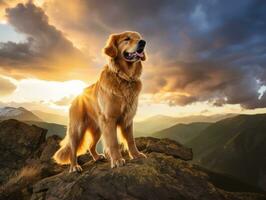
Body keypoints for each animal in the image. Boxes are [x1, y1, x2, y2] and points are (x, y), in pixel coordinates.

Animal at [53, 31, 147, 172]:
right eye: (127, 39)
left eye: (139, 37)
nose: (143, 42)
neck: (125, 78)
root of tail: (77, 97)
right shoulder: (109, 119)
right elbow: (113, 142)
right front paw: (117, 160)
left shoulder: (128, 119)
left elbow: (131, 140)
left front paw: (136, 155)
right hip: (77, 128)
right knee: (73, 149)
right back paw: (74, 166)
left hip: (97, 128)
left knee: (91, 145)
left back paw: (97, 157)